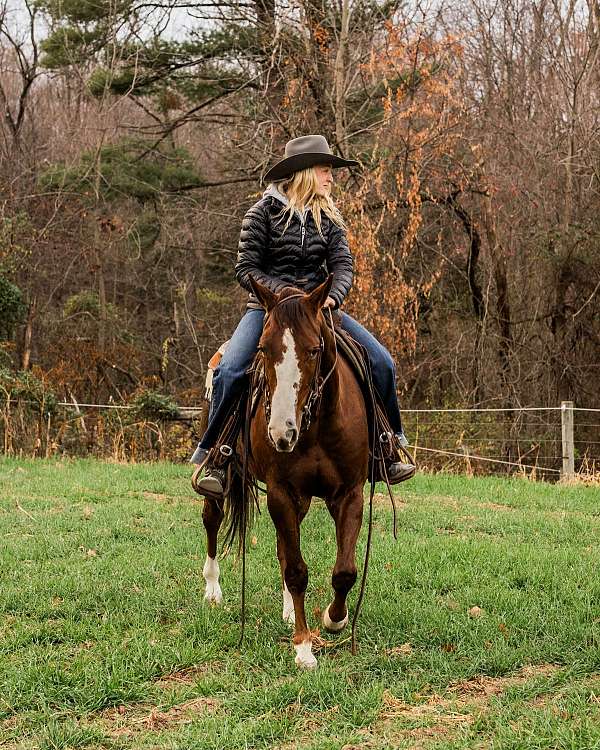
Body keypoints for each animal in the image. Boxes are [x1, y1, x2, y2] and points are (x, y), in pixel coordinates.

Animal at [202, 274, 370, 668]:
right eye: (263, 349)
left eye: (314, 350)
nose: (281, 432)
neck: (316, 426)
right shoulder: (280, 492)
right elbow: (296, 571)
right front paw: (303, 647)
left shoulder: (349, 493)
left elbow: (344, 571)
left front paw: (334, 619)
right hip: (224, 480)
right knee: (212, 520)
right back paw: (213, 589)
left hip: (302, 499)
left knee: (283, 547)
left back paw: (290, 611)